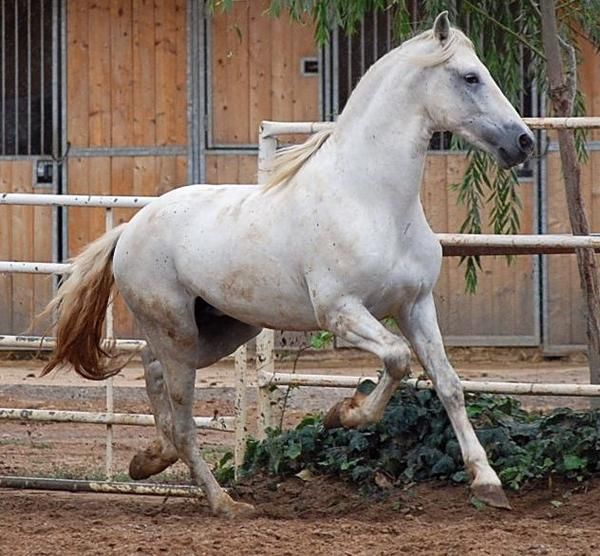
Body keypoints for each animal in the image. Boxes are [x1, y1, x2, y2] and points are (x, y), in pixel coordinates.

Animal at [44, 13, 536, 516]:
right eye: (470, 77)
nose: (524, 141)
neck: (371, 199)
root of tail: (131, 228)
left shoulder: (415, 305)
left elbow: (449, 383)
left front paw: (488, 483)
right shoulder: (340, 312)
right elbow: (398, 359)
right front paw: (343, 414)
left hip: (220, 329)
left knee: (153, 367)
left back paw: (150, 460)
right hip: (178, 331)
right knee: (182, 418)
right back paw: (224, 503)